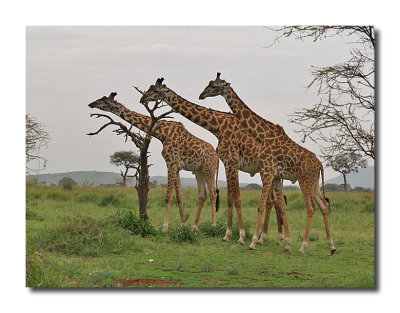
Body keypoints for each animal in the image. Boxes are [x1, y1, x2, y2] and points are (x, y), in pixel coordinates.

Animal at [88, 91, 219, 230]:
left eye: (105, 101)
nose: (91, 104)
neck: (163, 134)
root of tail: (216, 157)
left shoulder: (171, 163)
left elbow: (168, 196)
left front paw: (165, 226)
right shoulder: (176, 166)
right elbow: (179, 197)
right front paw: (183, 224)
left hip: (209, 169)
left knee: (213, 194)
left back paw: (213, 225)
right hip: (198, 171)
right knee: (202, 195)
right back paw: (195, 227)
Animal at [139, 78, 290, 249]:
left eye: (156, 91)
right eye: (151, 88)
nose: (142, 99)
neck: (218, 125)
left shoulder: (232, 162)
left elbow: (237, 198)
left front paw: (241, 236)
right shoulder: (227, 163)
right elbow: (230, 198)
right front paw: (228, 235)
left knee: (273, 201)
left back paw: (266, 238)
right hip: (271, 173)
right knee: (275, 201)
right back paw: (271, 238)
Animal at [199, 73, 334, 254]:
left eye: (214, 86)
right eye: (209, 83)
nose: (201, 95)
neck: (264, 135)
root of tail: (320, 164)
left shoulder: (268, 170)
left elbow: (262, 205)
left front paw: (252, 242)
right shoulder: (273, 174)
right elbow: (278, 205)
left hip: (304, 180)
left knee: (311, 207)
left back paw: (303, 247)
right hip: (314, 182)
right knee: (323, 205)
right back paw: (331, 246)